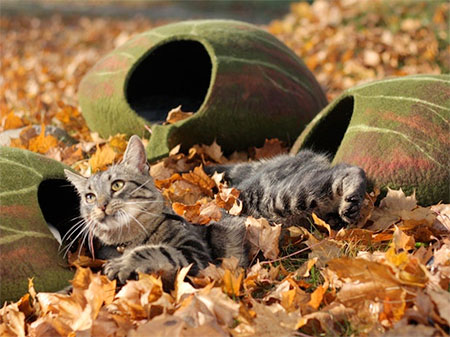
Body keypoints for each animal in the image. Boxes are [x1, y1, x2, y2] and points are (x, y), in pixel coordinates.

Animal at [64, 135, 246, 282]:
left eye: (117, 185)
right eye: (90, 197)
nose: (101, 205)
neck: (129, 239)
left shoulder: (196, 253)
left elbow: (157, 250)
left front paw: (123, 263)